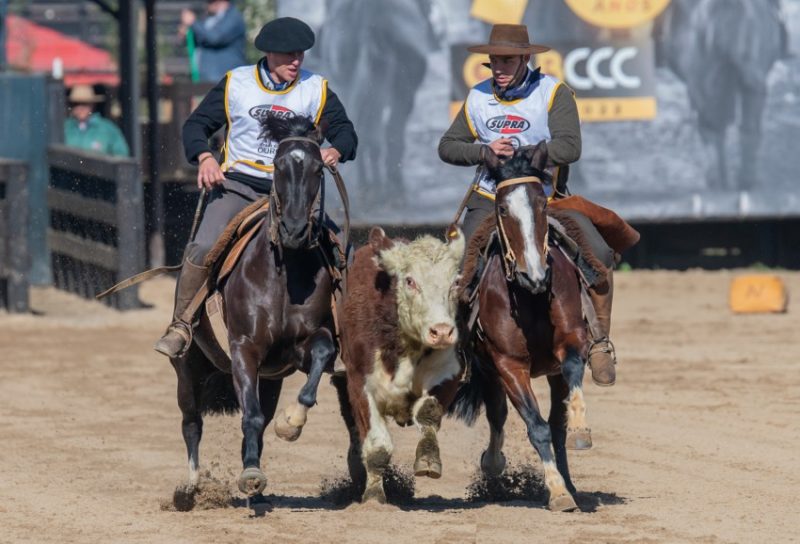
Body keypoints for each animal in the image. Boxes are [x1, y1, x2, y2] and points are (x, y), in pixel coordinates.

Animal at [170, 115, 352, 498]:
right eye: (279, 165)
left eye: (318, 169)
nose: (294, 230)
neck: (282, 277)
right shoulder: (244, 348)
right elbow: (247, 415)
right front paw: (251, 473)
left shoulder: (301, 347)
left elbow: (320, 357)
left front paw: (290, 424)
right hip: (189, 367)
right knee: (192, 422)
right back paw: (191, 487)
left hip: (270, 380)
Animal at [342, 225, 466, 502]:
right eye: (410, 281)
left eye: (455, 282)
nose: (442, 331)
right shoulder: (359, 383)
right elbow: (377, 446)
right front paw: (374, 495)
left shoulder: (449, 372)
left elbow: (429, 412)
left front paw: (428, 459)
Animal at [454, 143, 592, 510]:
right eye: (502, 208)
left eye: (542, 203)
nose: (535, 275)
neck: (529, 297)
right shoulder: (508, 365)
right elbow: (535, 426)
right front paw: (556, 491)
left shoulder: (572, 341)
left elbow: (571, 380)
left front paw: (581, 430)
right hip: (488, 369)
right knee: (499, 415)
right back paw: (494, 463)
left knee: (555, 425)